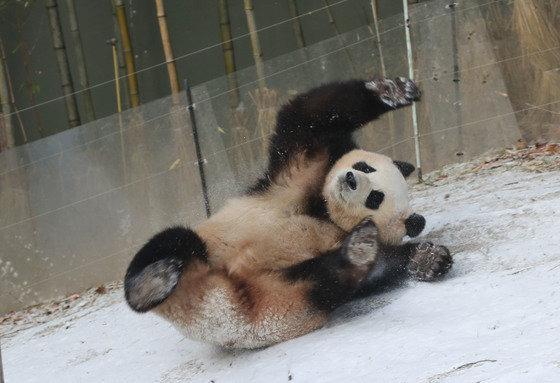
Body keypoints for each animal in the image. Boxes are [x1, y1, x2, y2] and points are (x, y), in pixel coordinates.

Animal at [124, 78, 452, 348]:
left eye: (375, 198)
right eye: (365, 167)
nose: (349, 179)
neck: (324, 211)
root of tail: (215, 303)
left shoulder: (335, 236)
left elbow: (380, 268)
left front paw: (429, 259)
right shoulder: (300, 176)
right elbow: (308, 117)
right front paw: (394, 91)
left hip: (280, 300)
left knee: (325, 282)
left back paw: (358, 251)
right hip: (209, 249)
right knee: (172, 241)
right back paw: (154, 281)